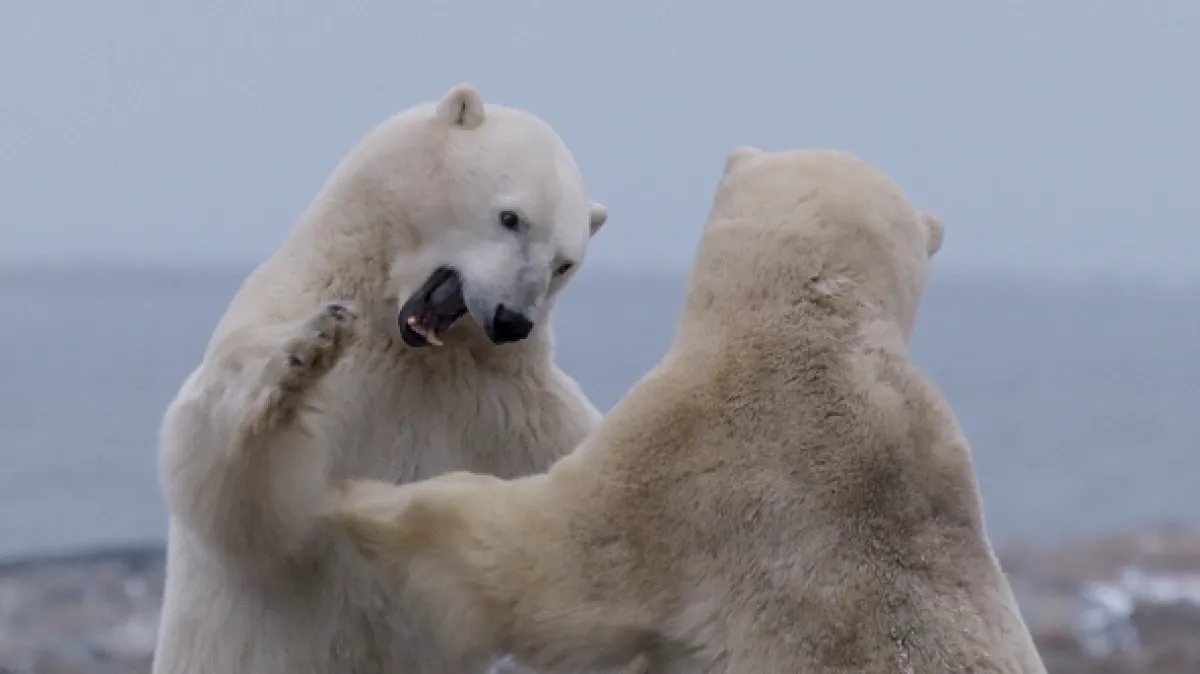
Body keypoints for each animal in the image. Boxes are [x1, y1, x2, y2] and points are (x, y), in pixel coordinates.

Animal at [151, 84, 611, 674]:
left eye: (564, 264)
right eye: (511, 217)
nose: (512, 320)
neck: (407, 349)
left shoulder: (511, 410)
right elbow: (226, 491)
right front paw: (306, 350)